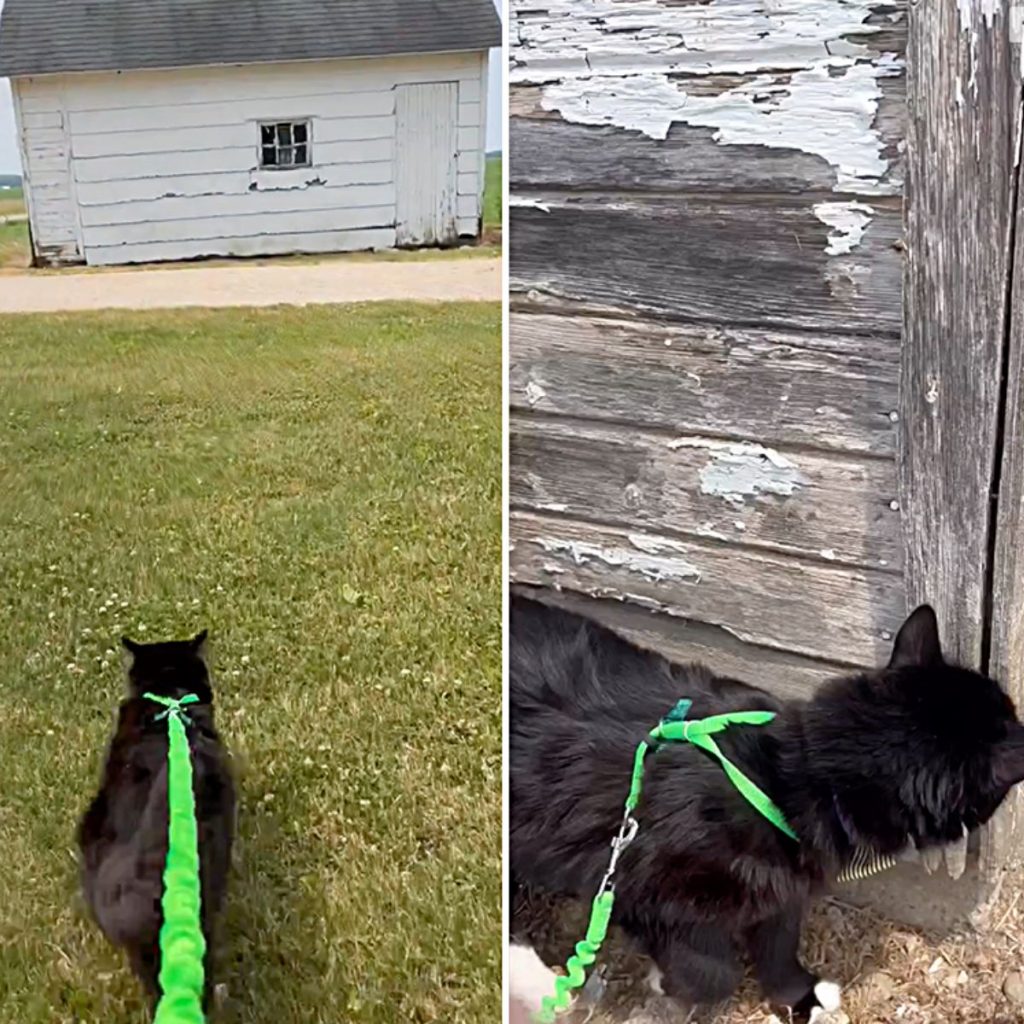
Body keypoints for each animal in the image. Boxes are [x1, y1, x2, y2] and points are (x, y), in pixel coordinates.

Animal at [512, 598, 1024, 1019]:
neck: (789, 776)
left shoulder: (782, 888)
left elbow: (779, 945)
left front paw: (800, 996)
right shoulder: (635, 890)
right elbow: (715, 974)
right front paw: (670, 983)